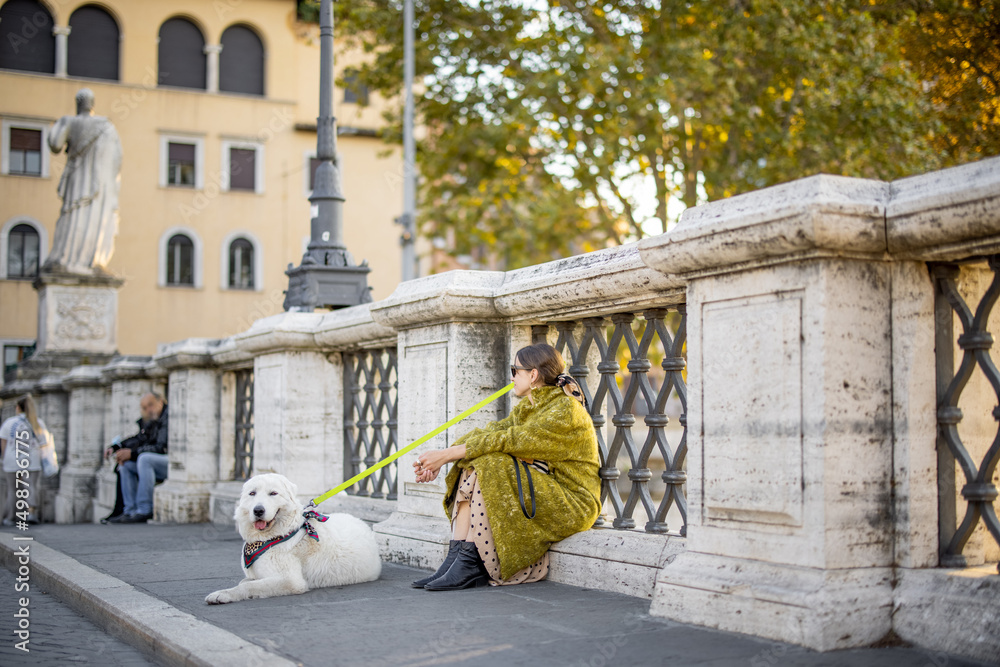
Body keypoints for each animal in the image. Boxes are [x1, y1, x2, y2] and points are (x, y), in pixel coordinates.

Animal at [205, 474, 380, 604]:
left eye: (273, 493)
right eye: (252, 493)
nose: (258, 510)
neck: (272, 537)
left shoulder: (290, 580)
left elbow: (248, 587)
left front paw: (222, 594)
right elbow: (246, 582)